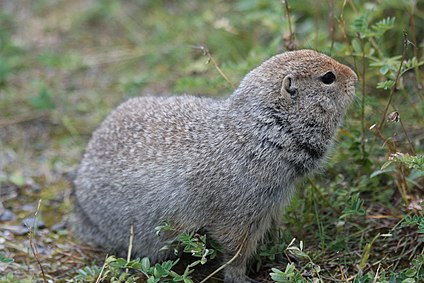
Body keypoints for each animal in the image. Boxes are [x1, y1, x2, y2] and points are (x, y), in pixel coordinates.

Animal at [73, 50, 358, 282]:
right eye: (328, 77)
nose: (355, 76)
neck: (263, 131)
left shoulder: (271, 206)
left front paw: (289, 255)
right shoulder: (240, 212)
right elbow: (235, 250)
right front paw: (241, 277)